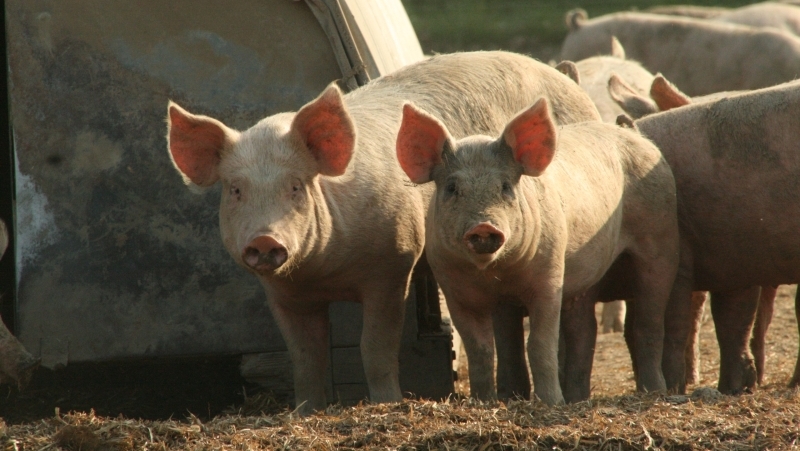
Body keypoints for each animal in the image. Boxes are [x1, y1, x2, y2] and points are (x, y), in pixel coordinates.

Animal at [166, 51, 600, 414]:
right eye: (235, 190)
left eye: (295, 186)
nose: (264, 239)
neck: (323, 272)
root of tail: (565, 76)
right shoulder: (283, 292)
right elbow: (305, 356)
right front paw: (305, 411)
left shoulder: (393, 264)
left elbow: (375, 344)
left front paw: (386, 404)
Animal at [394, 96, 676, 406]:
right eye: (452, 187)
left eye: (505, 186)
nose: (483, 225)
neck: (494, 273)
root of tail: (637, 136)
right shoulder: (455, 289)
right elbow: (480, 349)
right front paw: (484, 402)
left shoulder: (549, 276)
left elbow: (540, 344)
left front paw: (551, 403)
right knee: (582, 332)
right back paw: (572, 398)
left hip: (661, 239)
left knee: (649, 320)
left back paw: (654, 391)